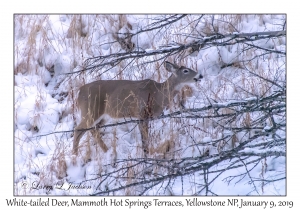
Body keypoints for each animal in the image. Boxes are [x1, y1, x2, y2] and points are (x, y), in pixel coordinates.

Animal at [73, 61, 203, 156]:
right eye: (186, 70)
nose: (200, 75)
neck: (159, 93)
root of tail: (79, 92)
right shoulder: (141, 113)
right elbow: (144, 138)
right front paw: (146, 154)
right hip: (90, 110)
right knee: (78, 129)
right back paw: (75, 155)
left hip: (103, 115)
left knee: (92, 129)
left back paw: (105, 150)